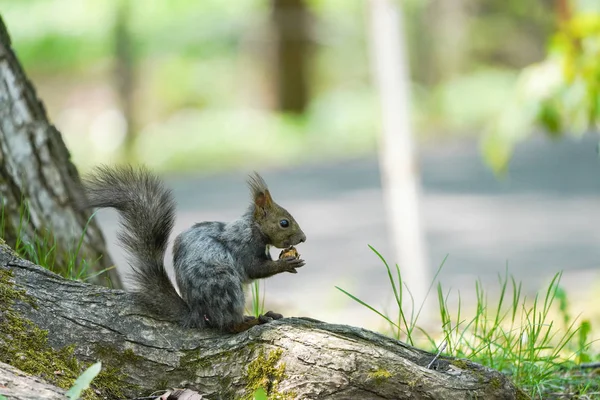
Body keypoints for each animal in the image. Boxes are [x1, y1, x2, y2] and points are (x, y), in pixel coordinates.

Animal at [81, 164, 304, 332]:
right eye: (284, 223)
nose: (303, 238)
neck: (254, 228)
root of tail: (196, 312)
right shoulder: (244, 245)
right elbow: (255, 269)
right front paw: (286, 263)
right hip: (225, 287)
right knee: (227, 325)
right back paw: (254, 321)